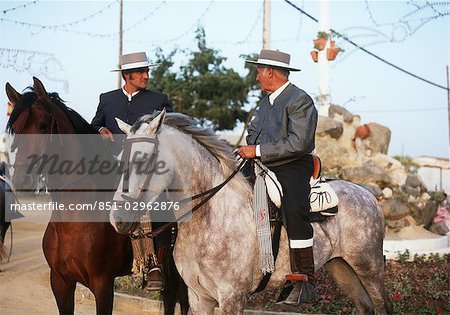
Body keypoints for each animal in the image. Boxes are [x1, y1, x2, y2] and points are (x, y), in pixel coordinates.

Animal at [110, 110, 392, 314]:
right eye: (119, 161)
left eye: (143, 161)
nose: (118, 219)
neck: (211, 217)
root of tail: (366, 193)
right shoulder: (199, 297)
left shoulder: (231, 297)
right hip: (342, 269)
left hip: (370, 268)